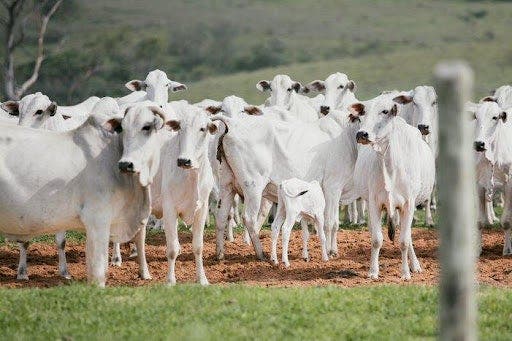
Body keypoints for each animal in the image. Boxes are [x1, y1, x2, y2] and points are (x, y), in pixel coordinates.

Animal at [352, 95, 436, 278]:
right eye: (363, 113)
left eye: (385, 111)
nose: (362, 134)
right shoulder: (374, 203)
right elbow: (376, 239)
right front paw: (373, 271)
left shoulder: (409, 204)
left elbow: (404, 241)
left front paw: (405, 273)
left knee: (408, 236)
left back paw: (415, 265)